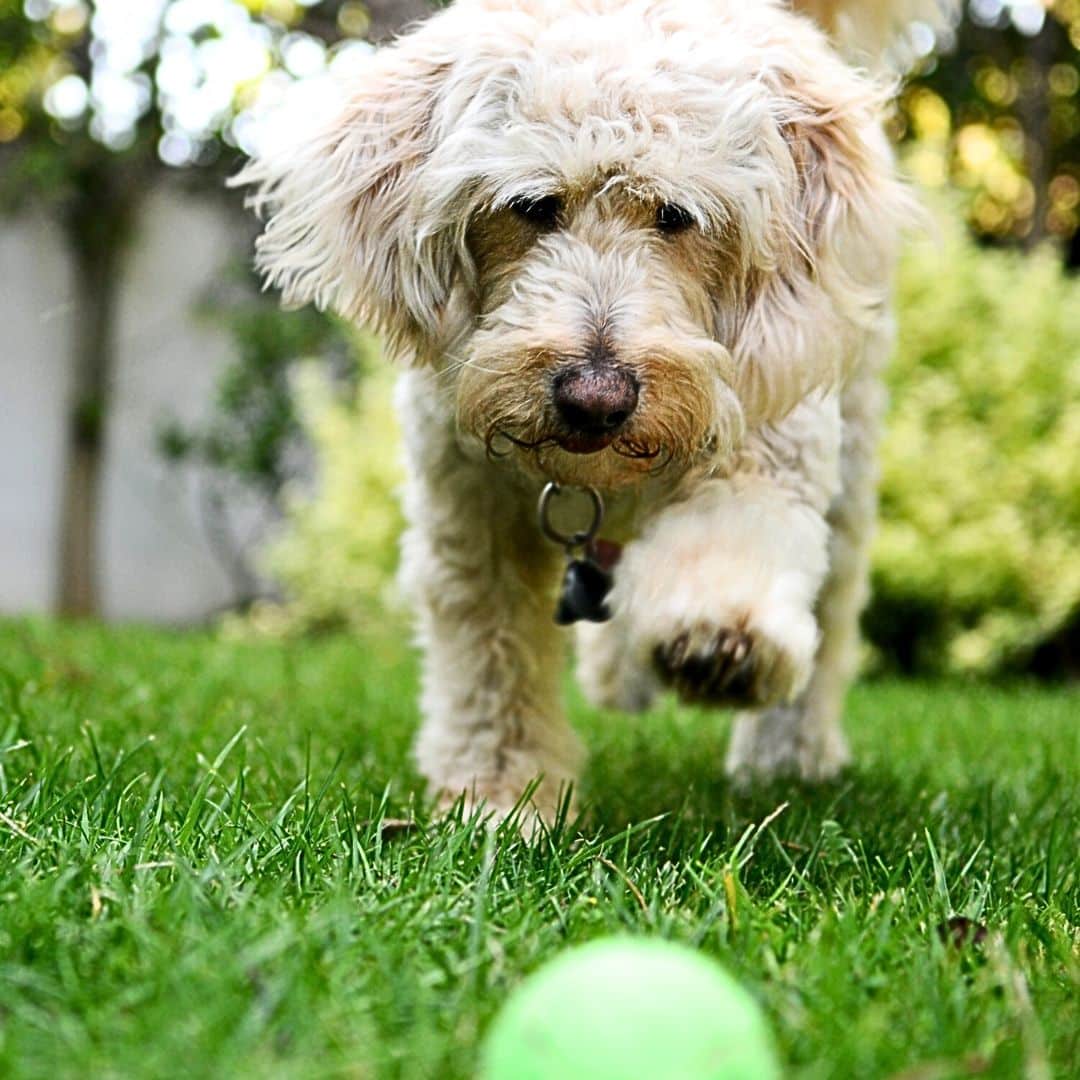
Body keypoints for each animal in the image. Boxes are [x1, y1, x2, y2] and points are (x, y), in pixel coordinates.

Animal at [243, 0, 954, 825]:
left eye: (677, 215)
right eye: (531, 206)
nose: (595, 397)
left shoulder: (768, 448)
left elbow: (732, 538)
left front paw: (719, 639)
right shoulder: (469, 518)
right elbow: (492, 659)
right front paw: (501, 795)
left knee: (833, 605)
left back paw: (788, 754)